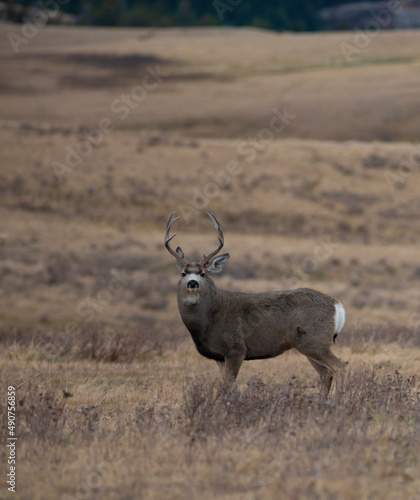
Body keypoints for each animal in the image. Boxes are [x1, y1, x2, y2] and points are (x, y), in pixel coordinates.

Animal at [166, 211, 346, 398]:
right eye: (183, 273)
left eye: (202, 273)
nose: (192, 283)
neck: (208, 319)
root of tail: (336, 304)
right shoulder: (219, 356)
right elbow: (229, 386)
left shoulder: (236, 349)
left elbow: (227, 385)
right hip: (308, 344)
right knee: (326, 373)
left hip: (315, 341)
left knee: (340, 367)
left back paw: (336, 401)